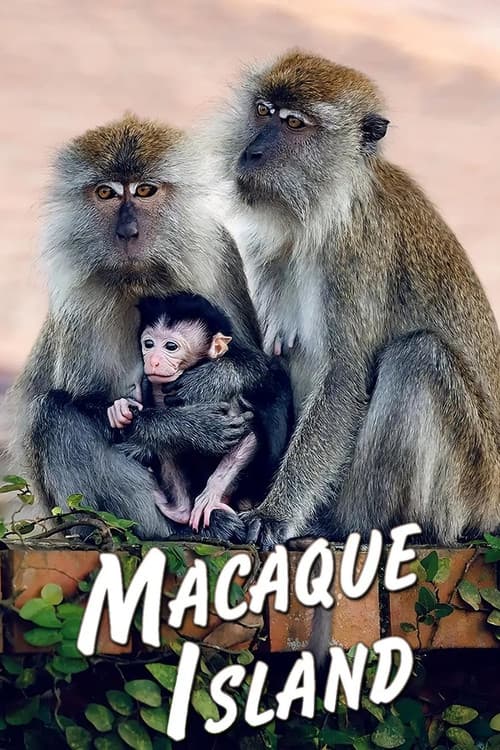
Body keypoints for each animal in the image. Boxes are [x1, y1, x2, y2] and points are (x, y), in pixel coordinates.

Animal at [107, 293, 293, 532]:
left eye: (170, 346)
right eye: (148, 344)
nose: (153, 361)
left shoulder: (226, 400)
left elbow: (249, 435)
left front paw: (211, 493)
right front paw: (121, 410)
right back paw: (179, 510)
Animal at [208, 50, 500, 548]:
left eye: (295, 123)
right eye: (263, 111)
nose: (252, 152)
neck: (325, 210)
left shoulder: (355, 253)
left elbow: (343, 379)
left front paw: (275, 514)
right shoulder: (269, 249)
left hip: (470, 488)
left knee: (418, 358)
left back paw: (352, 525)